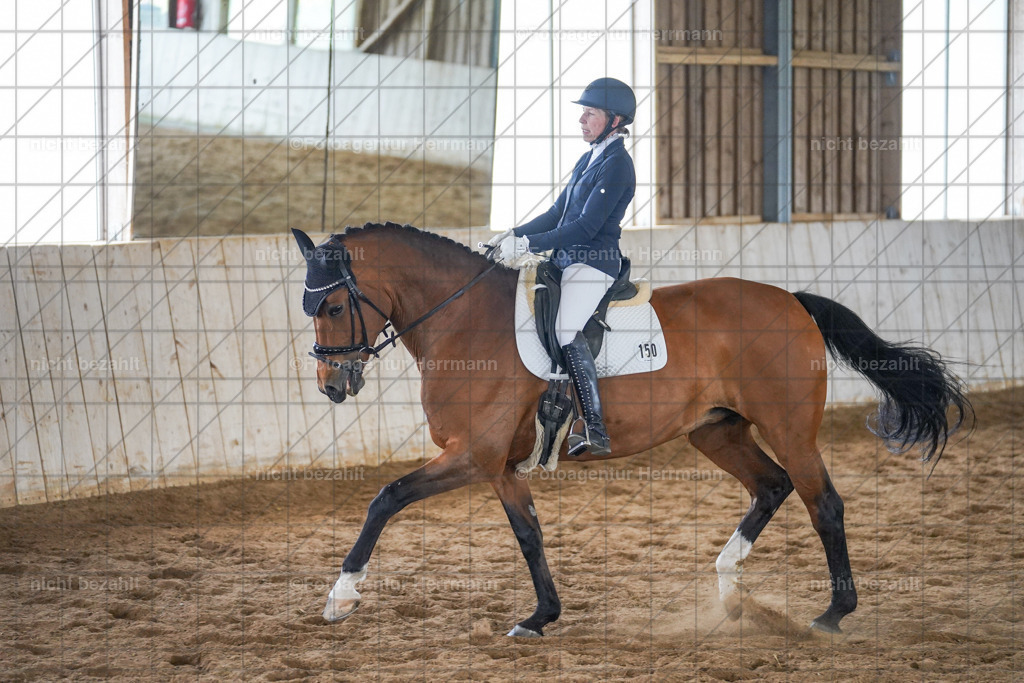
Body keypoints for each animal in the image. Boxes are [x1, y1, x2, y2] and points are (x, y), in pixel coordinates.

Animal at [291, 222, 972, 637]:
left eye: (333, 306)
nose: (331, 386)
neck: (463, 322)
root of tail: (792, 301)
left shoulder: (472, 455)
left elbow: (386, 498)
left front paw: (341, 597)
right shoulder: (501, 466)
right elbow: (529, 536)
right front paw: (541, 616)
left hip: (789, 428)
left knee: (822, 502)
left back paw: (832, 614)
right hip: (716, 432)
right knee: (772, 486)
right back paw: (729, 591)